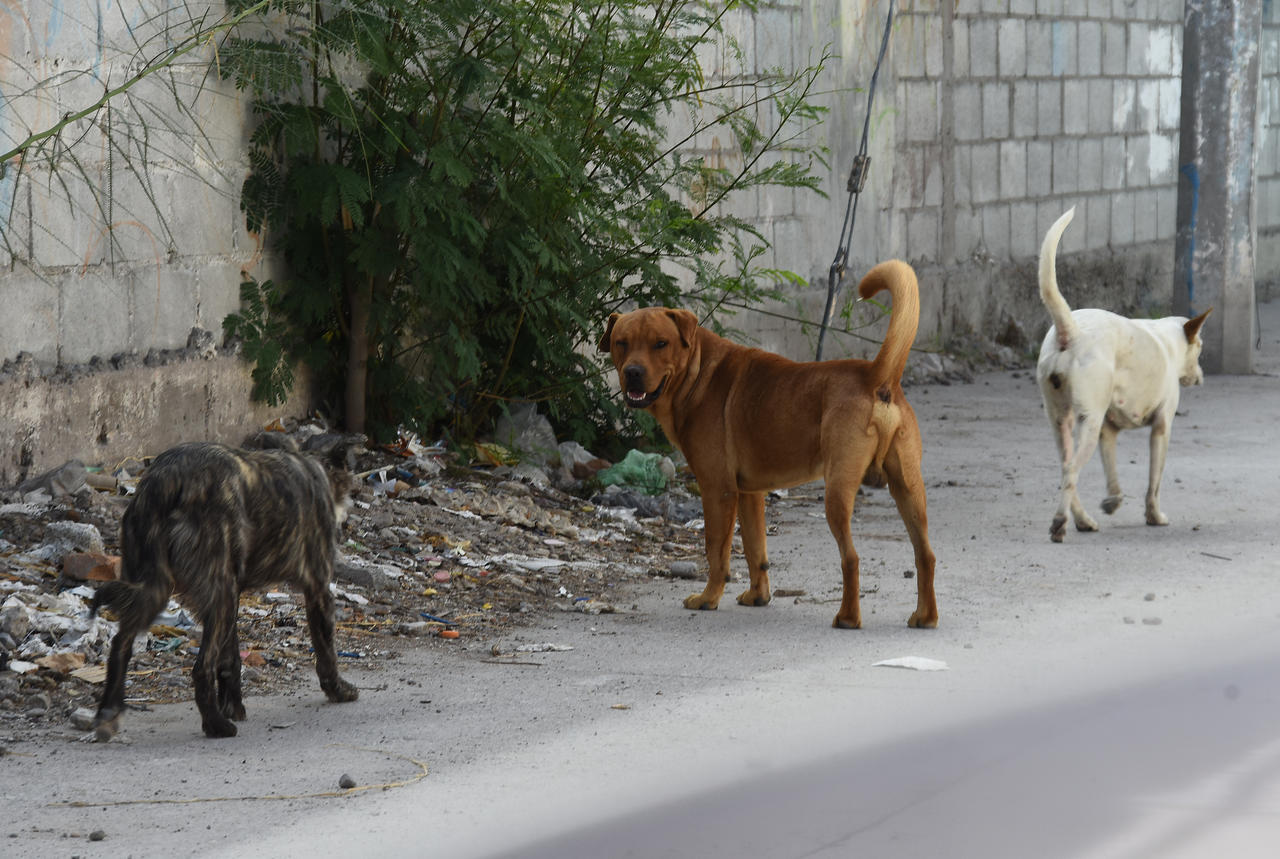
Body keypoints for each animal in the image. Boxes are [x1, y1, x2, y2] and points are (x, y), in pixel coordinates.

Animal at [93, 440, 360, 742]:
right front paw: (338, 689)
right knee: (201, 668)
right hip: (219, 594)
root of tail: (165, 478)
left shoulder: (231, 595)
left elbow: (230, 661)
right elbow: (327, 650)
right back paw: (215, 725)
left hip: (168, 590)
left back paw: (109, 712)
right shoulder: (318, 588)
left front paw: (232, 706)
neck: (316, 465)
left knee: (121, 645)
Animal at [599, 258, 942, 627]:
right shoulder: (750, 493)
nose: (633, 372)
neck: (696, 372)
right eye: (622, 342)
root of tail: (877, 376)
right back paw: (925, 616)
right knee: (926, 555)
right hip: (909, 490)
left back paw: (848, 617)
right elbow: (755, 550)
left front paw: (708, 598)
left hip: (838, 492)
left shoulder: (718, 490)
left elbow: (716, 551)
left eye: (660, 343)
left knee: (851, 558)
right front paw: (758, 596)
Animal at [1039, 207, 1208, 540]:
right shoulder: (1161, 427)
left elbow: (1113, 473)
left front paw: (1113, 501)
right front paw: (1154, 516)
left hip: (1060, 421)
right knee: (1071, 470)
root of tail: (1071, 331)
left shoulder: (1108, 431)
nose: (1201, 376)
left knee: (1065, 468)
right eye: (1200, 348)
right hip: (1087, 422)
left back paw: (1083, 520)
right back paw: (1060, 523)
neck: (1167, 338)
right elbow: (1154, 483)